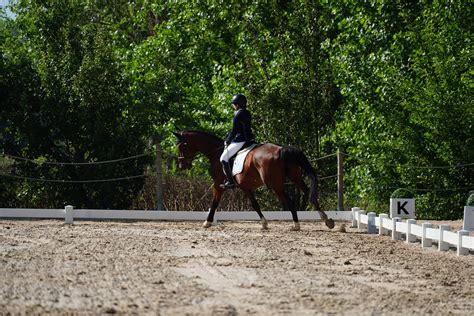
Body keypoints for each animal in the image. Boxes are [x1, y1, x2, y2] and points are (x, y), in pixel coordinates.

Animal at [172, 130, 336, 231]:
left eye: (181, 146)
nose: (182, 165)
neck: (216, 152)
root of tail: (281, 149)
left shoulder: (218, 185)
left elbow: (214, 203)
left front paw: (207, 222)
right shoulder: (246, 187)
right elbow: (255, 204)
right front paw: (264, 223)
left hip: (275, 185)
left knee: (290, 201)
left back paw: (296, 225)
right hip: (294, 177)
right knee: (308, 193)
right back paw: (326, 220)